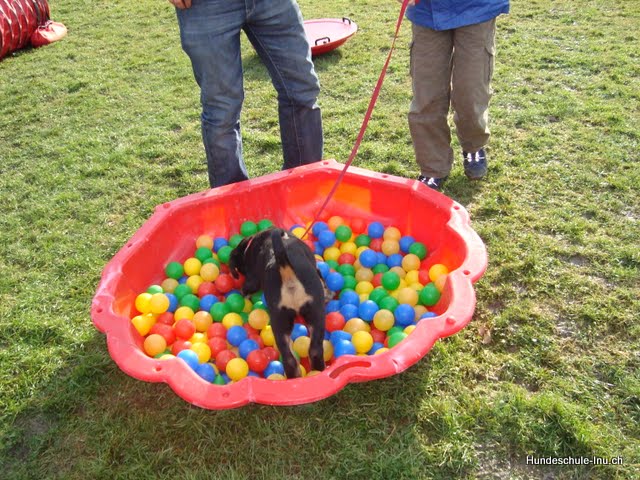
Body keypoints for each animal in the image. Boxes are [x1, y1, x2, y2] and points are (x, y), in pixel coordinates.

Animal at [228, 227, 328, 378]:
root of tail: (285, 268)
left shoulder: (252, 279)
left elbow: (245, 290)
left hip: (279, 320)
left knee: (289, 358)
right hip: (316, 314)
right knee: (314, 350)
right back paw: (317, 370)